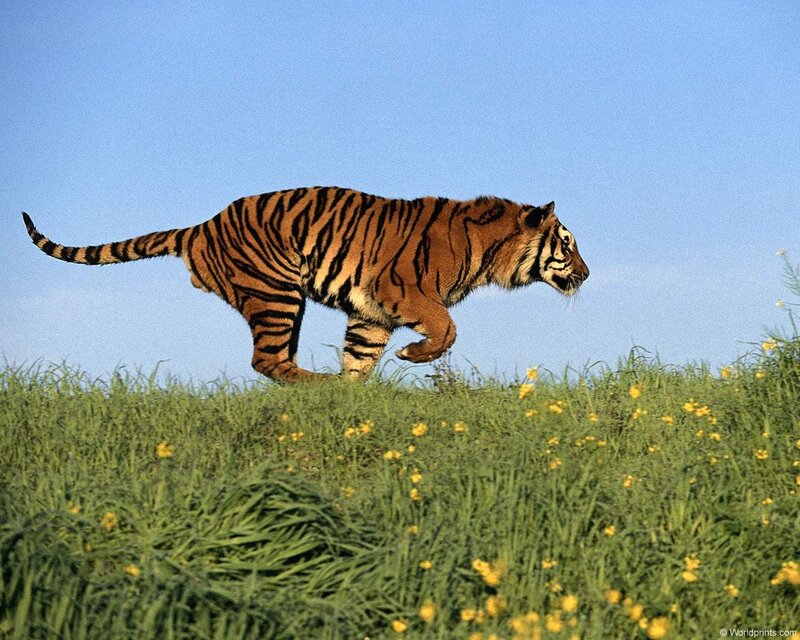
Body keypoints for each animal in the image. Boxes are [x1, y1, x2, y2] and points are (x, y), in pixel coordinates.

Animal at [22, 186, 589, 382]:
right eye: (568, 243)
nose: (587, 274)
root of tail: (201, 226)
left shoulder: (370, 313)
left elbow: (360, 358)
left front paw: (356, 398)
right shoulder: (402, 291)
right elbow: (447, 329)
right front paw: (411, 357)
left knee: (275, 361)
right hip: (277, 294)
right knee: (268, 361)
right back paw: (320, 387)